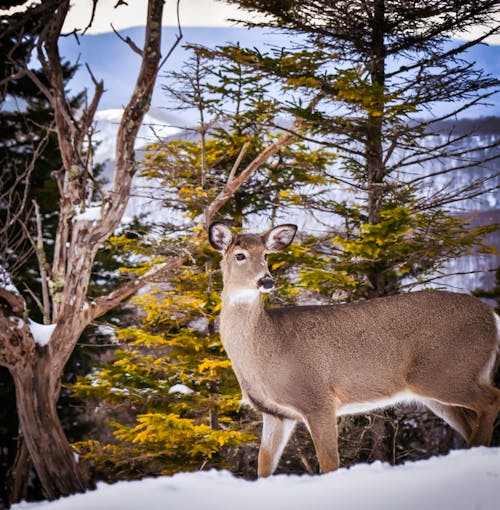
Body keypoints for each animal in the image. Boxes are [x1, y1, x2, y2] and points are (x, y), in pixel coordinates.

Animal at [208, 221, 500, 476]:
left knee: (492, 399)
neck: (264, 347)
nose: (266, 281)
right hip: (439, 388)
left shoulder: (318, 399)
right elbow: (264, 468)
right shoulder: (276, 414)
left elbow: (329, 465)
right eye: (240, 255)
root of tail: (492, 316)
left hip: (446, 371)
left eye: (266, 254)